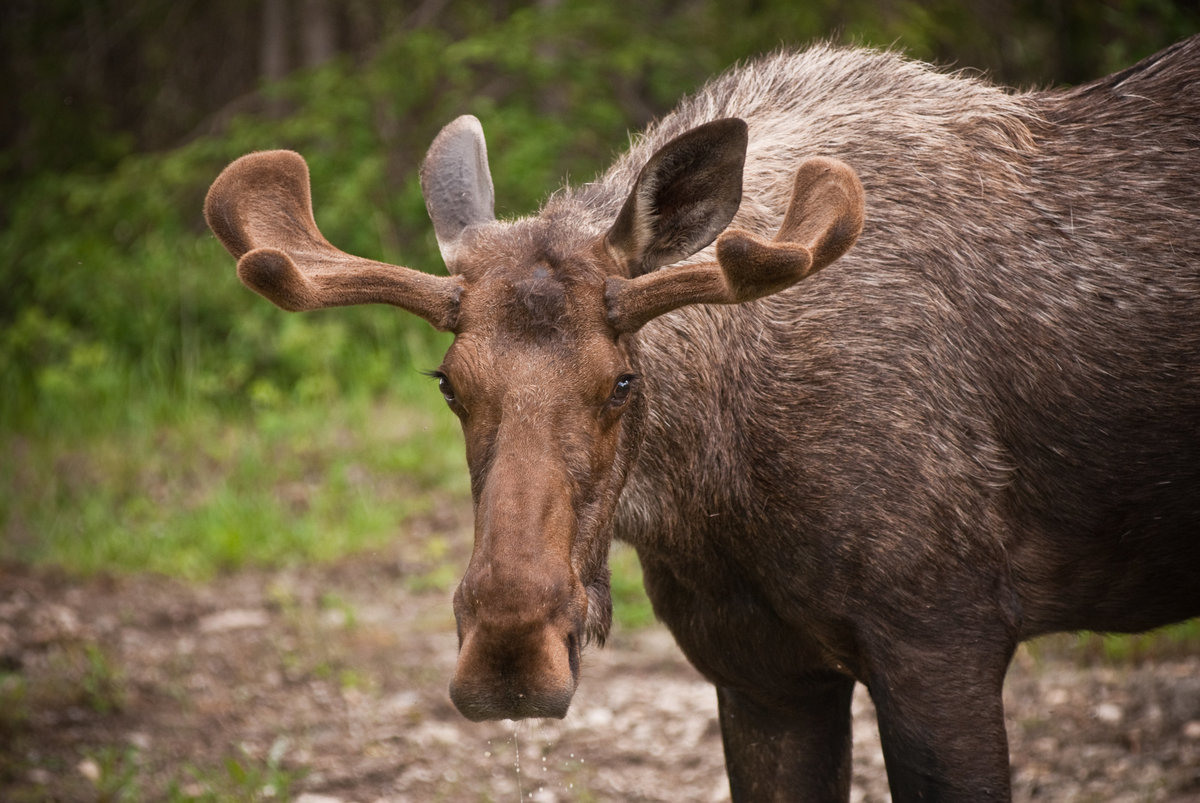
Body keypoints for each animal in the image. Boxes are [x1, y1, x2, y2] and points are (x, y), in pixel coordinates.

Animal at [206, 37, 1200, 801]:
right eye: (449, 383)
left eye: (622, 381)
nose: (509, 654)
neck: (717, 496)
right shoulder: (759, 671)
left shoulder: (944, 635)